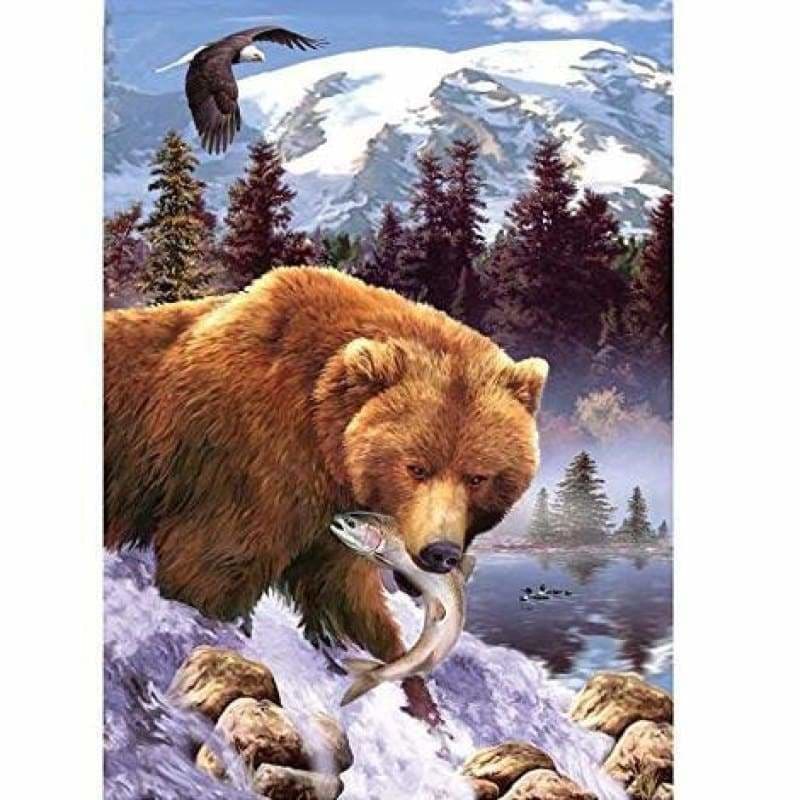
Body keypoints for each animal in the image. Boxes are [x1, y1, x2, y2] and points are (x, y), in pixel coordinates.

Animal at [105, 267, 548, 718]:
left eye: (477, 477)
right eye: (416, 467)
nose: (440, 552)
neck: (324, 431)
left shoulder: (332, 513)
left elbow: (345, 598)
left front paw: (416, 693)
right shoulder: (249, 461)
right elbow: (210, 567)